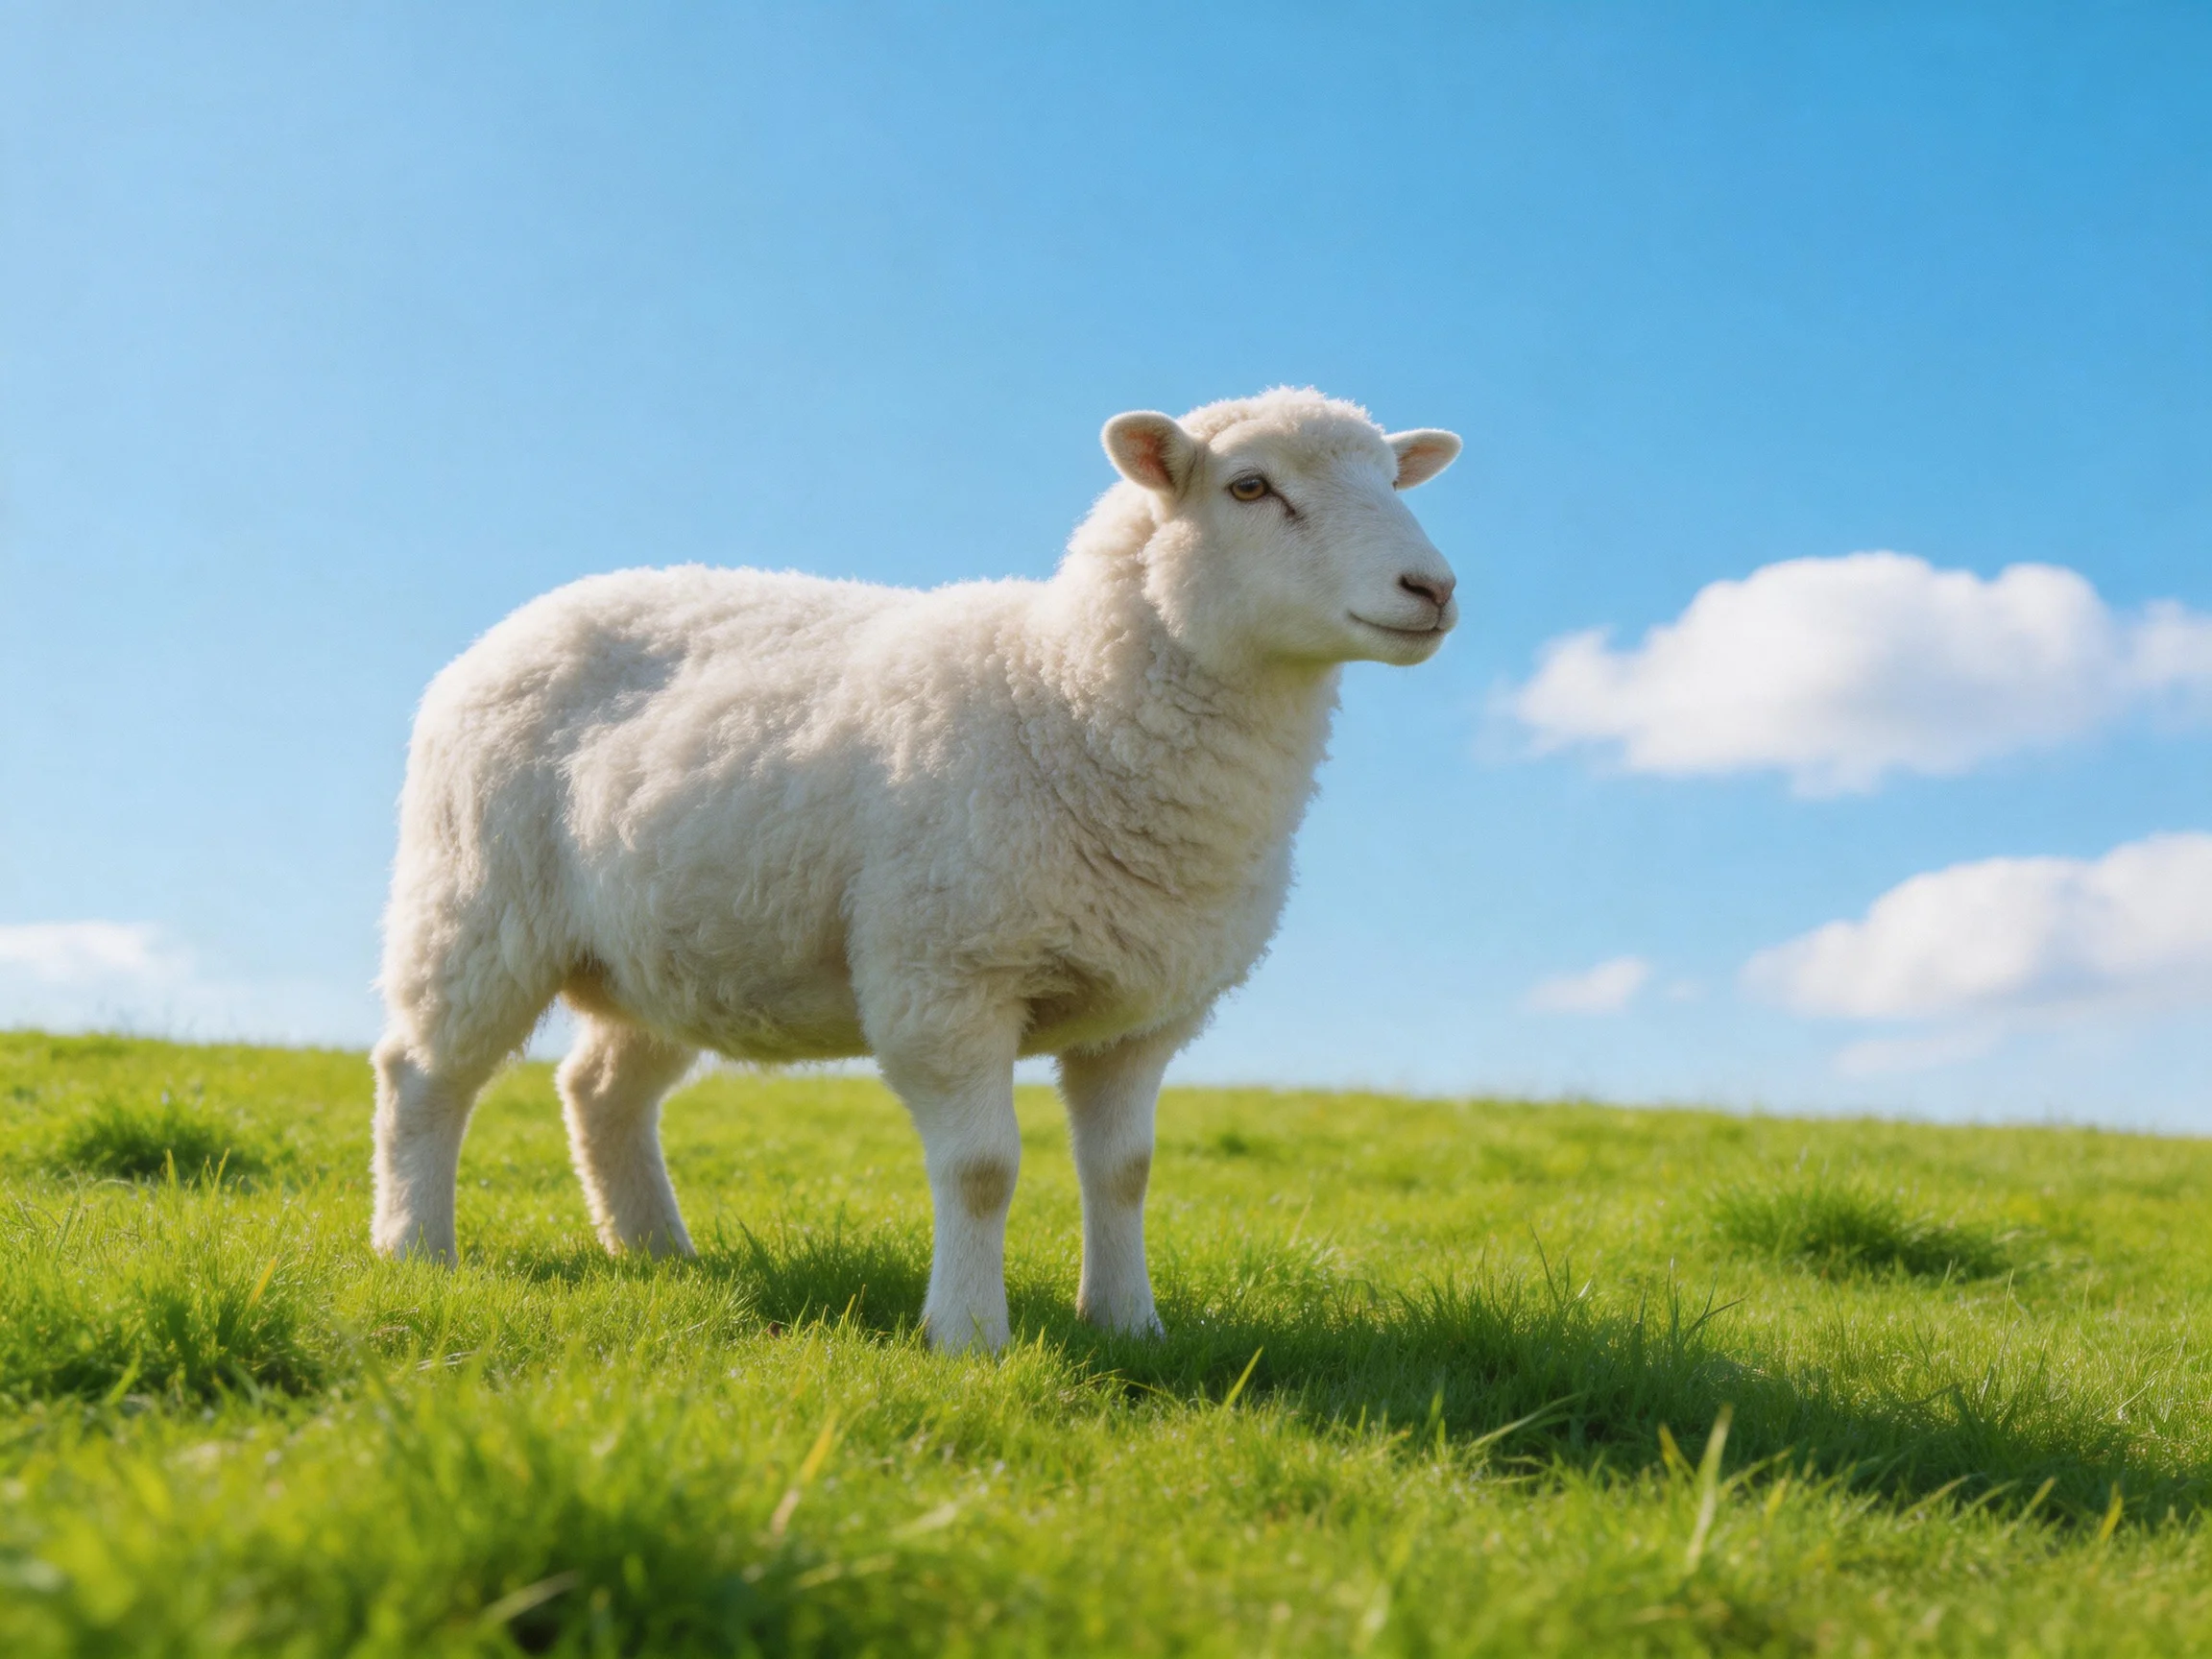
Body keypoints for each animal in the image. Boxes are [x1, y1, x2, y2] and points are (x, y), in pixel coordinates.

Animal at [371, 387, 1461, 1351]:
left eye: (1390, 478)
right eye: (1249, 487)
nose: (1436, 589)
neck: (1068, 692)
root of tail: (517, 624)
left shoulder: (1145, 1012)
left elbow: (1126, 1173)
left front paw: (1129, 1325)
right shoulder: (946, 976)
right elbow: (982, 1170)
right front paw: (970, 1337)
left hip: (667, 948)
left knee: (601, 1092)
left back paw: (657, 1254)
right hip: (476, 902)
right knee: (422, 1075)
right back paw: (415, 1248)